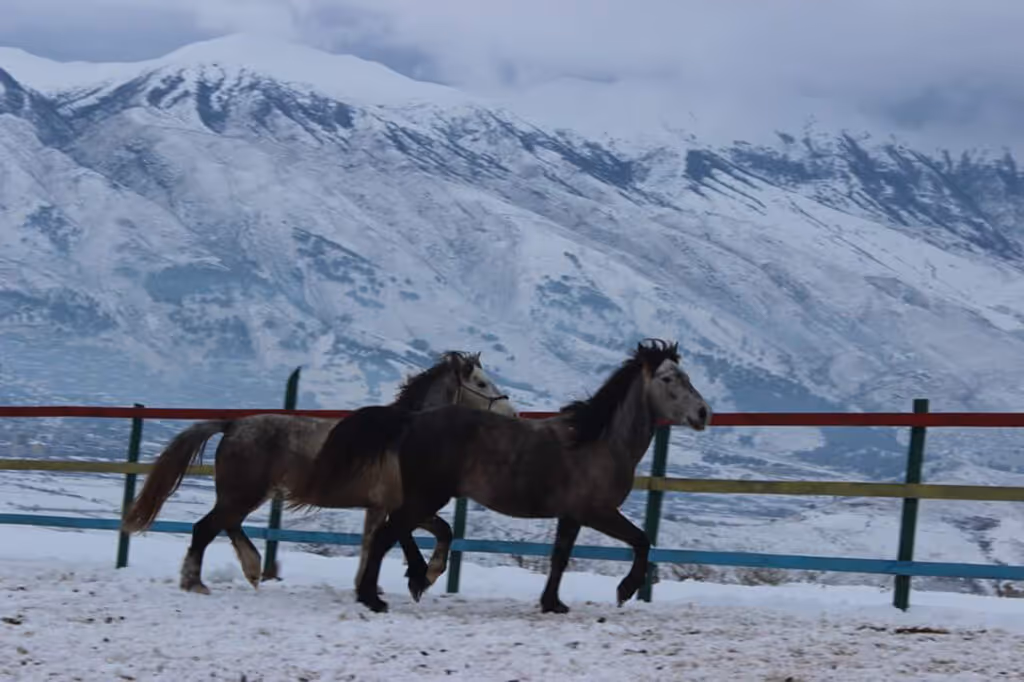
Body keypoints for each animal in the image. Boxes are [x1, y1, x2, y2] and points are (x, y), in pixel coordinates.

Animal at [121, 351, 518, 597]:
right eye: (482, 384)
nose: (513, 415)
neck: (406, 437)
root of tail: (232, 425)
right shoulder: (400, 505)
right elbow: (430, 534)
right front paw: (423, 576)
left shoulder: (386, 506)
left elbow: (394, 539)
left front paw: (395, 582)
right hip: (242, 492)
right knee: (205, 527)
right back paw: (197, 583)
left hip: (245, 494)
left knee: (226, 524)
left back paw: (252, 569)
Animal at [310, 339, 711, 613]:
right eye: (668, 378)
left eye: (687, 376)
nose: (704, 413)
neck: (599, 441)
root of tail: (411, 419)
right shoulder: (597, 512)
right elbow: (642, 540)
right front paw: (625, 590)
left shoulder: (572, 516)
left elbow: (560, 557)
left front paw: (552, 603)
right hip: (425, 496)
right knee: (385, 536)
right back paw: (377, 596)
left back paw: (409, 581)